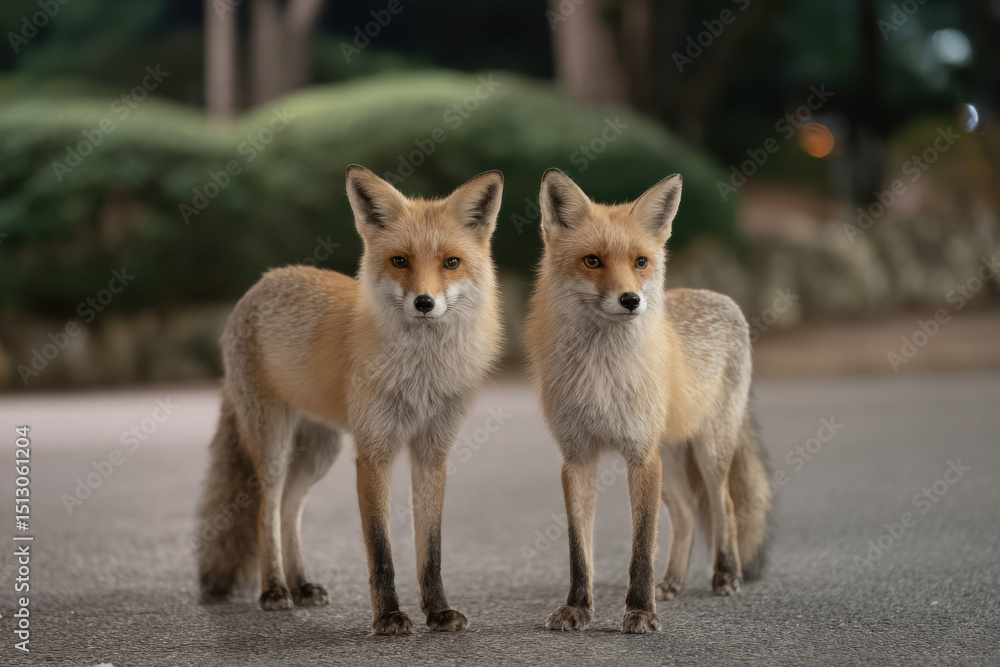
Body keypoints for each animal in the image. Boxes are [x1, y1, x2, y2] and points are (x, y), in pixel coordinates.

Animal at [196, 165, 504, 635]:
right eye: (400, 261)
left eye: (451, 262)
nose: (424, 302)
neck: (422, 373)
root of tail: (266, 278)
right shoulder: (373, 451)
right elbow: (381, 551)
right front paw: (389, 617)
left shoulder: (433, 451)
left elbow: (430, 550)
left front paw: (437, 611)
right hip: (274, 444)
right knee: (267, 508)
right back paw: (275, 590)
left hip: (319, 452)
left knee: (290, 508)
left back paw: (301, 584)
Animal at [524, 169, 771, 634]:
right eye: (592, 261)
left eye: (640, 262)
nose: (631, 300)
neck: (601, 375)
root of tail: (720, 296)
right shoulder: (577, 458)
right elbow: (579, 550)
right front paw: (578, 607)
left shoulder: (640, 456)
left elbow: (641, 547)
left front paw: (639, 611)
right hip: (669, 463)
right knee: (688, 515)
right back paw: (672, 581)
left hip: (706, 452)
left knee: (725, 506)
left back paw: (725, 574)